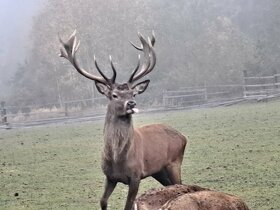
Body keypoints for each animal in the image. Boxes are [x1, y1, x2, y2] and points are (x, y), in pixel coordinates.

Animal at [58, 31, 186, 210]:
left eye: (133, 94)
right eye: (114, 95)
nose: (131, 103)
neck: (118, 159)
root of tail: (183, 136)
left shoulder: (135, 175)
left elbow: (128, 205)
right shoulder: (110, 177)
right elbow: (103, 201)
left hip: (174, 162)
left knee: (181, 184)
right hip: (158, 170)